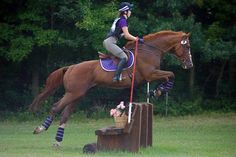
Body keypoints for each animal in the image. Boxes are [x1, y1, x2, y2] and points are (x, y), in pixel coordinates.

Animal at [28, 30, 193, 147]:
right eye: (187, 46)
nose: (189, 65)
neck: (150, 50)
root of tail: (71, 67)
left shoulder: (152, 75)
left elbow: (169, 76)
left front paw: (156, 91)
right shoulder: (150, 74)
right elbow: (171, 74)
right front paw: (158, 91)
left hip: (77, 95)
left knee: (65, 114)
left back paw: (57, 141)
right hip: (73, 93)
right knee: (56, 107)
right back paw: (40, 129)